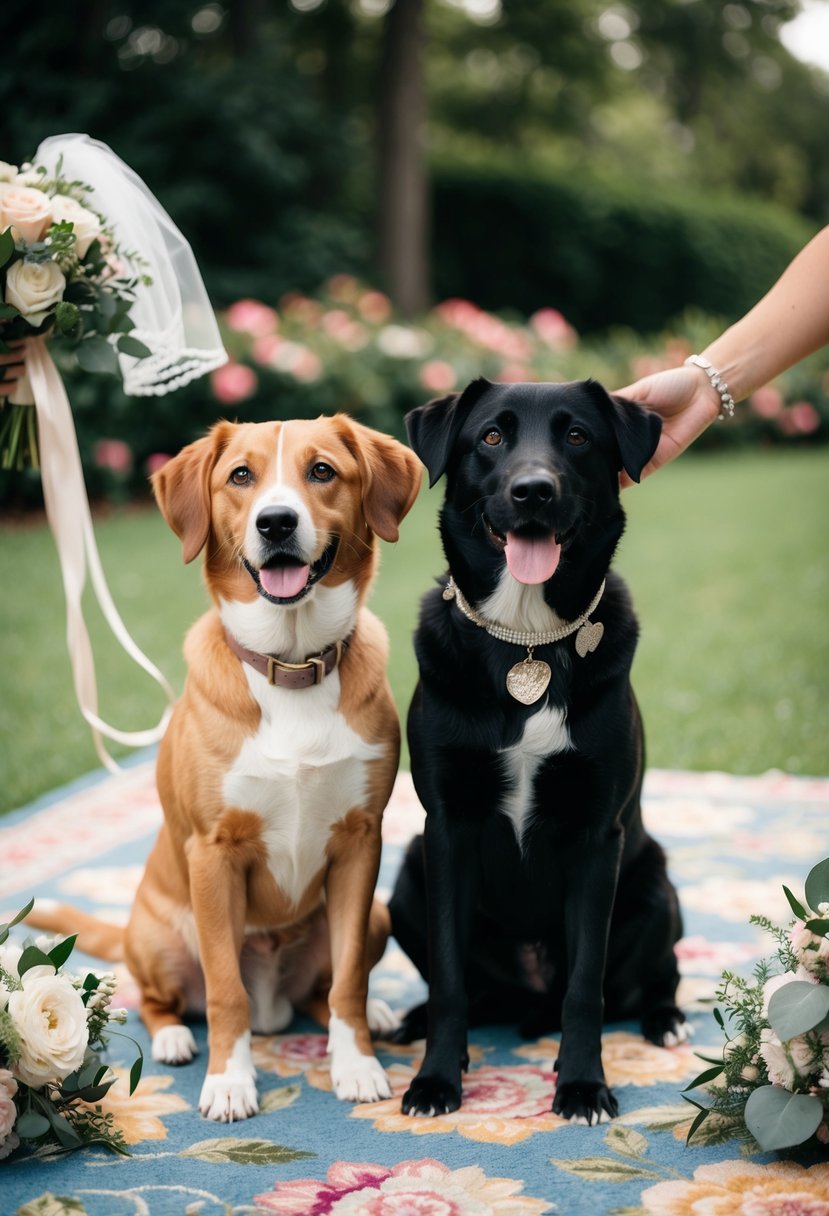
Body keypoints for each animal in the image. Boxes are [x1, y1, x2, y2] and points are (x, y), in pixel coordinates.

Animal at [29, 415, 423, 1118]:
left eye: (322, 470)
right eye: (241, 475)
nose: (276, 523)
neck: (291, 664)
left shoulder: (361, 844)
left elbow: (347, 979)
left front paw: (355, 1064)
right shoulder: (213, 856)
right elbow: (223, 989)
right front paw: (230, 1080)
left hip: (376, 915)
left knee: (321, 991)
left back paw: (372, 1015)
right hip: (156, 938)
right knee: (159, 1000)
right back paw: (175, 1040)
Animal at [386, 376, 685, 1118]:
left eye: (576, 435)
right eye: (491, 435)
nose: (532, 491)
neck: (526, 638)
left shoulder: (596, 838)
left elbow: (585, 988)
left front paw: (582, 1084)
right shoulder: (446, 829)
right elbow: (449, 980)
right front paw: (436, 1079)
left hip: (653, 885)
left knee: (652, 974)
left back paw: (665, 1020)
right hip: (404, 879)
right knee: (470, 989)